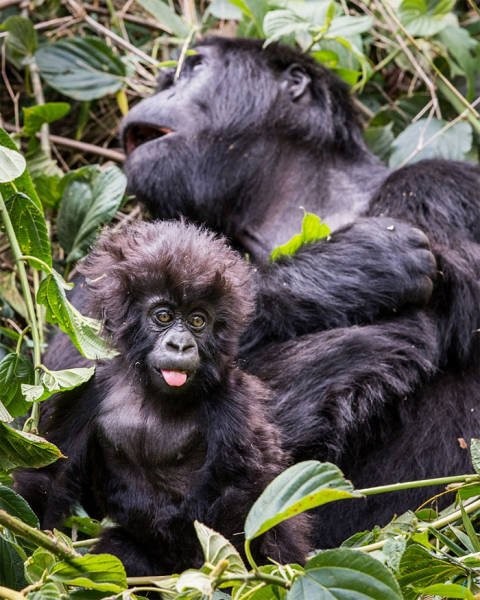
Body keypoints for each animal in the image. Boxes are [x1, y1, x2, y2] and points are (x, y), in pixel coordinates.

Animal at [15, 221, 310, 576]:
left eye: (198, 320)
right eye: (164, 316)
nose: (180, 345)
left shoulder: (235, 403)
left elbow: (251, 499)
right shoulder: (89, 387)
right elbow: (49, 470)